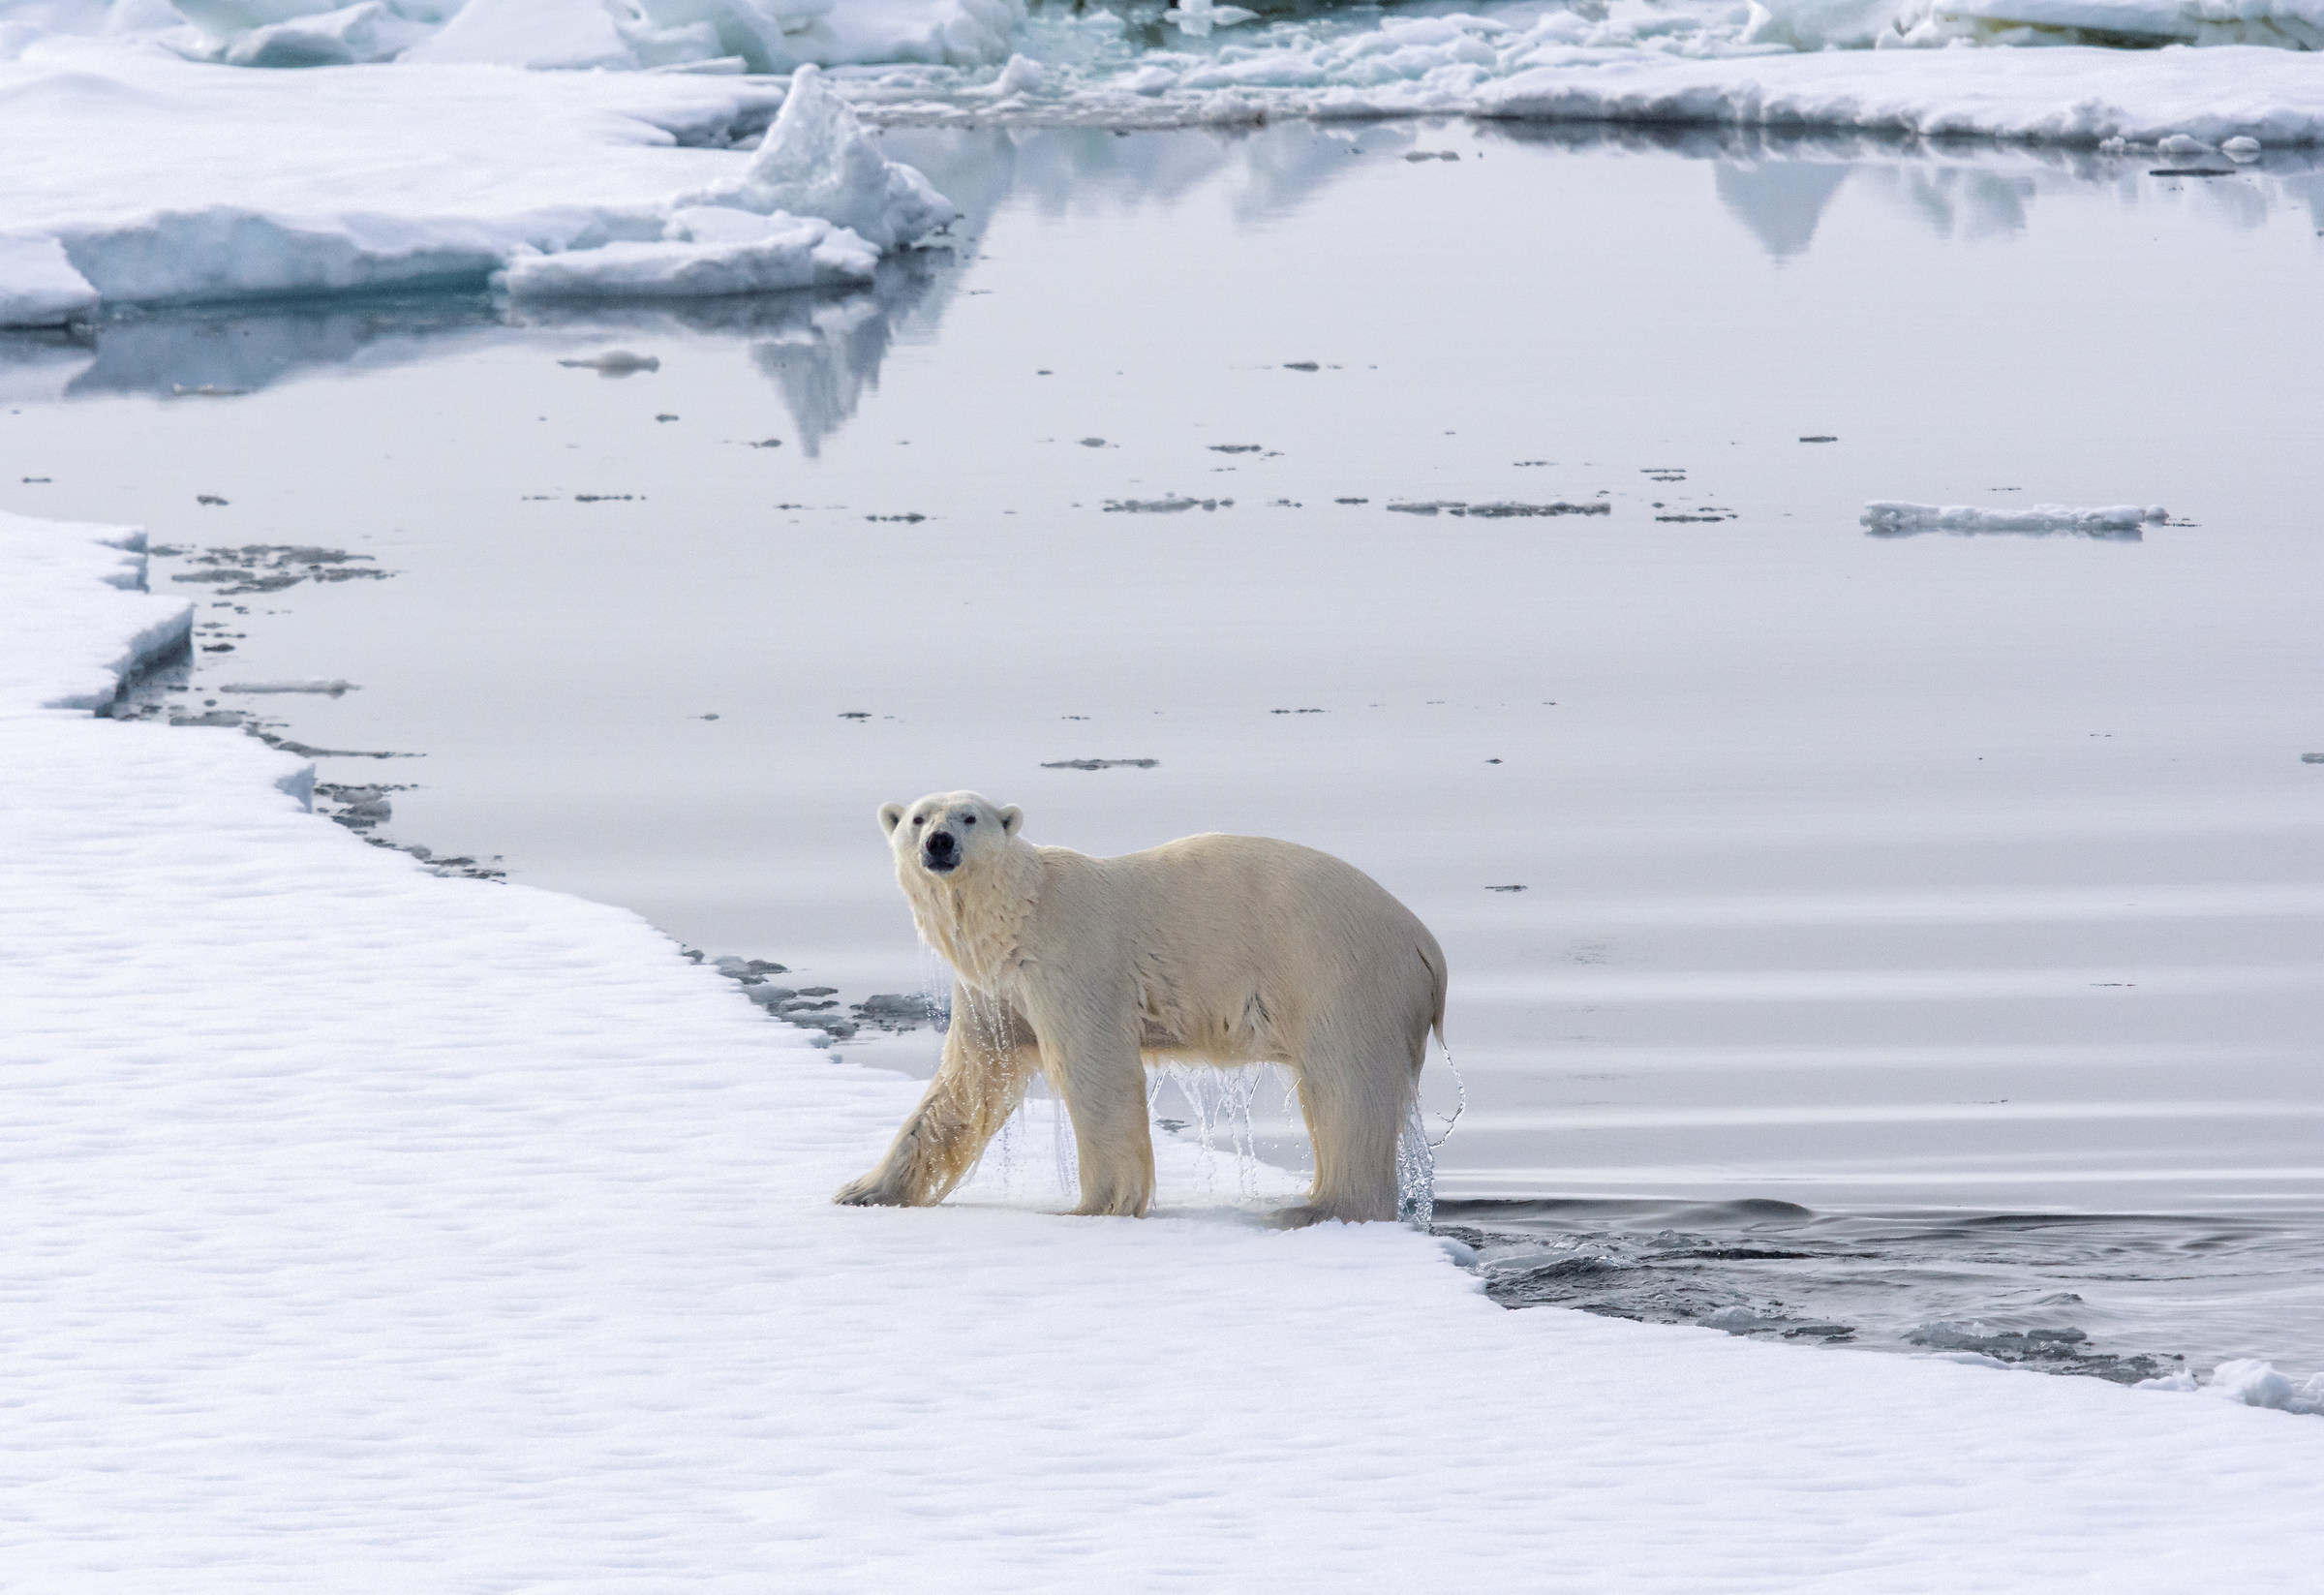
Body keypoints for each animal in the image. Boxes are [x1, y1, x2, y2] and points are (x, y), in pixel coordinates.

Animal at [833, 791, 1448, 1227]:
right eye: (917, 818)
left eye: (969, 817)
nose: (938, 842)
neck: (1020, 914)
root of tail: (1425, 945)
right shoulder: (994, 991)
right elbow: (965, 1084)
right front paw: (861, 1190)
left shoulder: (1071, 960)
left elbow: (1095, 1069)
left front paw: (1093, 1206)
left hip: (1336, 973)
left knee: (1345, 1088)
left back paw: (1316, 1206)